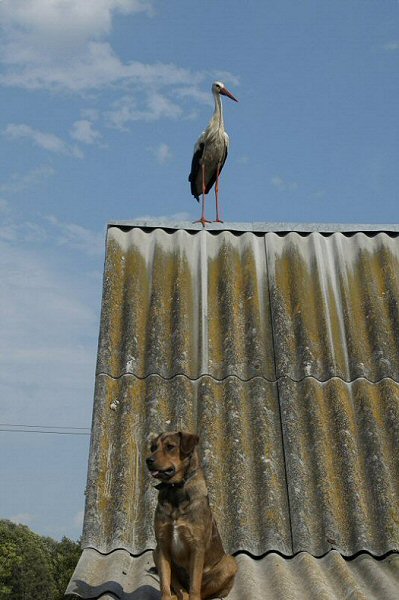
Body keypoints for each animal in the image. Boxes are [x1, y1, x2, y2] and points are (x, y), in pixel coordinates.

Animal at [148, 432, 239, 600]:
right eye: (153, 448)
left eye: (170, 447)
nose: (148, 460)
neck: (175, 490)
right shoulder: (162, 545)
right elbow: (165, 582)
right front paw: (166, 596)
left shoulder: (197, 546)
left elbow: (195, 585)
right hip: (155, 552)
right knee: (180, 588)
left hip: (230, 563)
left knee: (202, 591)